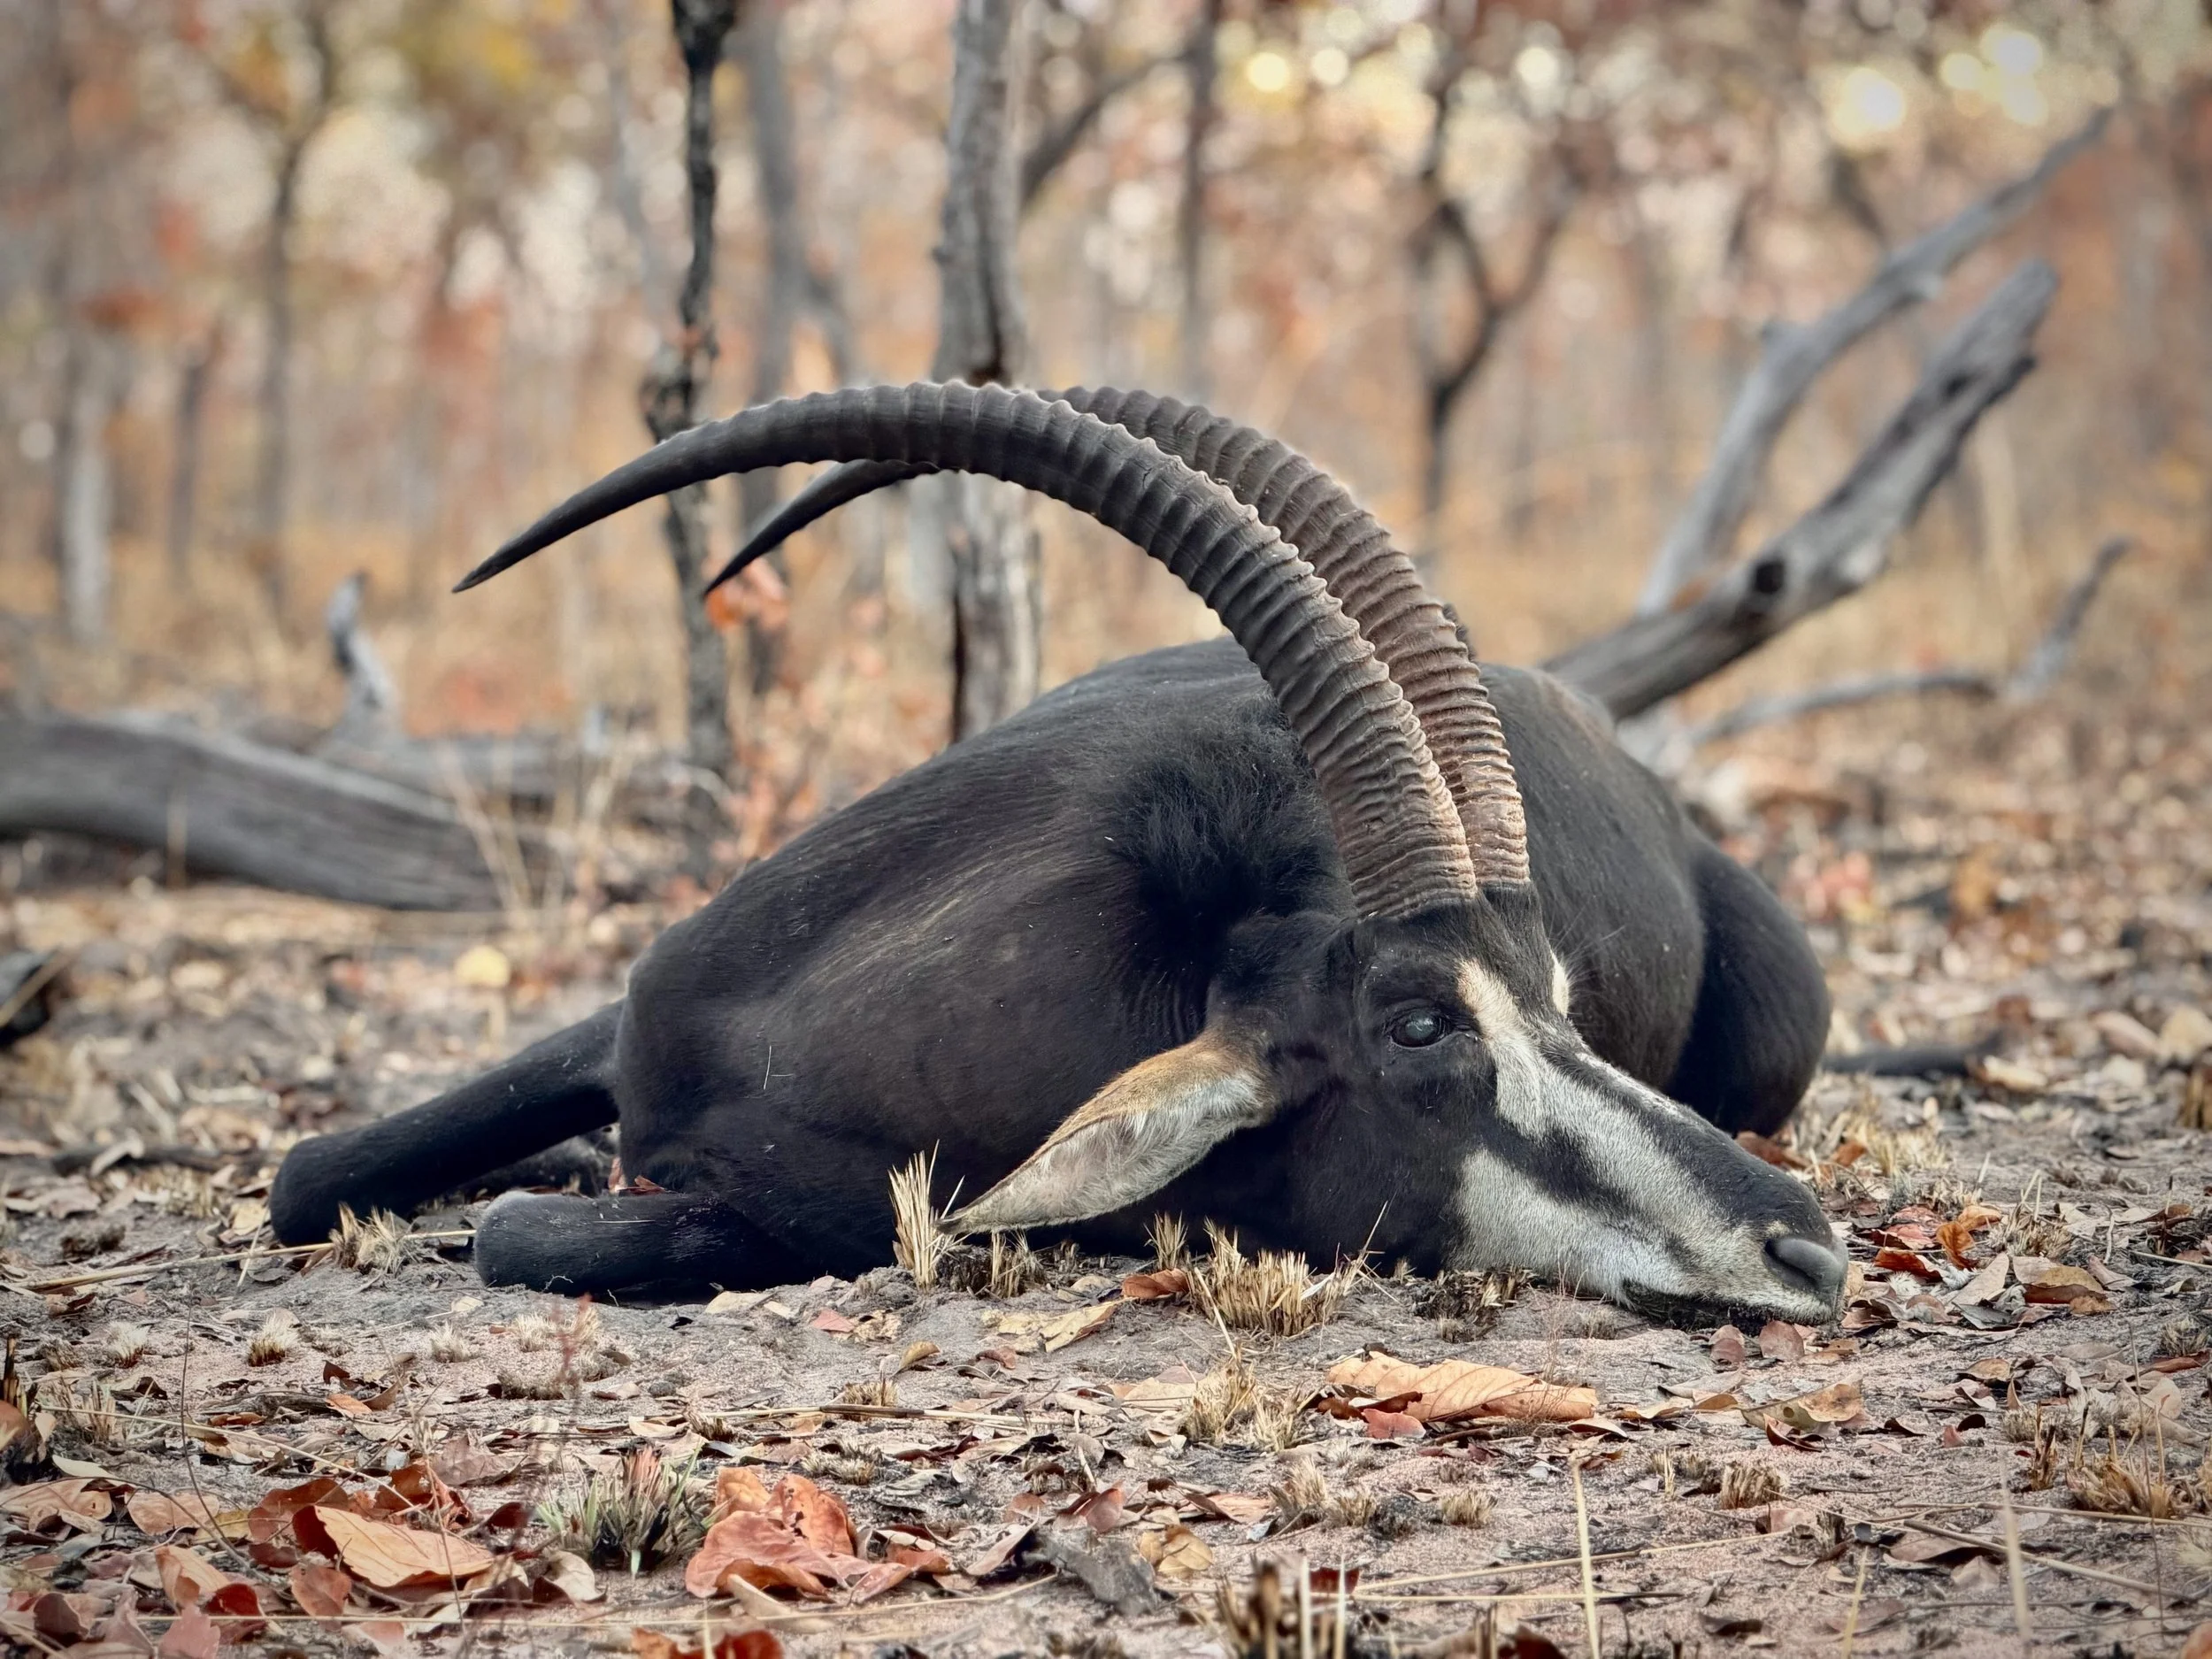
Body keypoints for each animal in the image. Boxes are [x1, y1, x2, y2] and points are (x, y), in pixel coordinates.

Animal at [271, 382, 1846, 1325]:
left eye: (1567, 1004)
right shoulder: (614, 1025)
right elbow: (311, 1173)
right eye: (1415, 1022)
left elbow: (536, 1228)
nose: (1807, 1248)